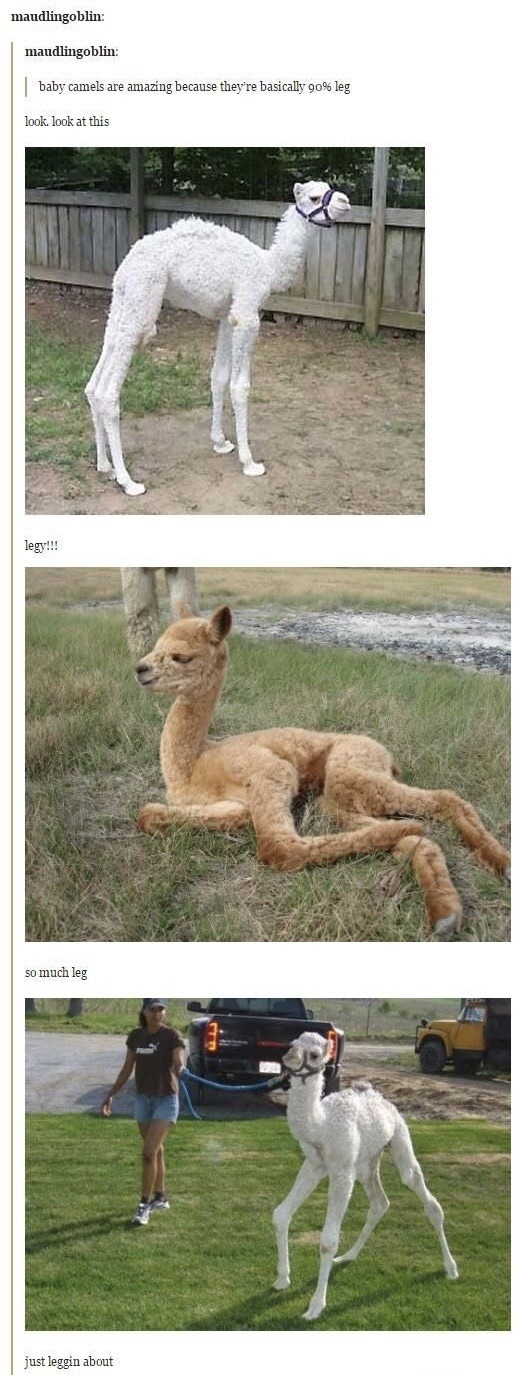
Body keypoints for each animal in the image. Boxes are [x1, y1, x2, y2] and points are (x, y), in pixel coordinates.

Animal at [85, 181, 351, 494]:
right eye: (313, 196)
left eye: (329, 187)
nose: (345, 202)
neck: (268, 267)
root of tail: (126, 266)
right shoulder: (247, 314)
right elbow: (240, 386)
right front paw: (249, 461)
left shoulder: (227, 316)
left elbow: (218, 377)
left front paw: (221, 442)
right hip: (144, 299)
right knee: (109, 391)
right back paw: (128, 480)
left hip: (123, 301)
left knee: (96, 377)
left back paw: (105, 465)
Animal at [135, 606, 510, 937]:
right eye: (155, 647)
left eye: (180, 656)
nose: (140, 669)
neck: (196, 762)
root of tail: (386, 755)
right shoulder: (226, 804)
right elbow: (149, 814)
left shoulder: (272, 771)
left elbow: (279, 849)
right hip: (339, 797)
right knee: (399, 830)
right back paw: (444, 909)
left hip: (349, 770)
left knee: (445, 799)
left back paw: (498, 865)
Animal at [273, 1031, 458, 1321]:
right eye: (292, 1044)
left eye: (315, 1054)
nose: (289, 1059)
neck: (321, 1126)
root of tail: (385, 1101)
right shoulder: (314, 1164)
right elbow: (280, 1214)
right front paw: (282, 1279)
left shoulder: (341, 1171)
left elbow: (327, 1241)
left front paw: (316, 1306)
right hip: (366, 1163)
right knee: (380, 1203)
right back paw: (348, 1256)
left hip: (399, 1138)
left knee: (424, 1195)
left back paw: (451, 1268)